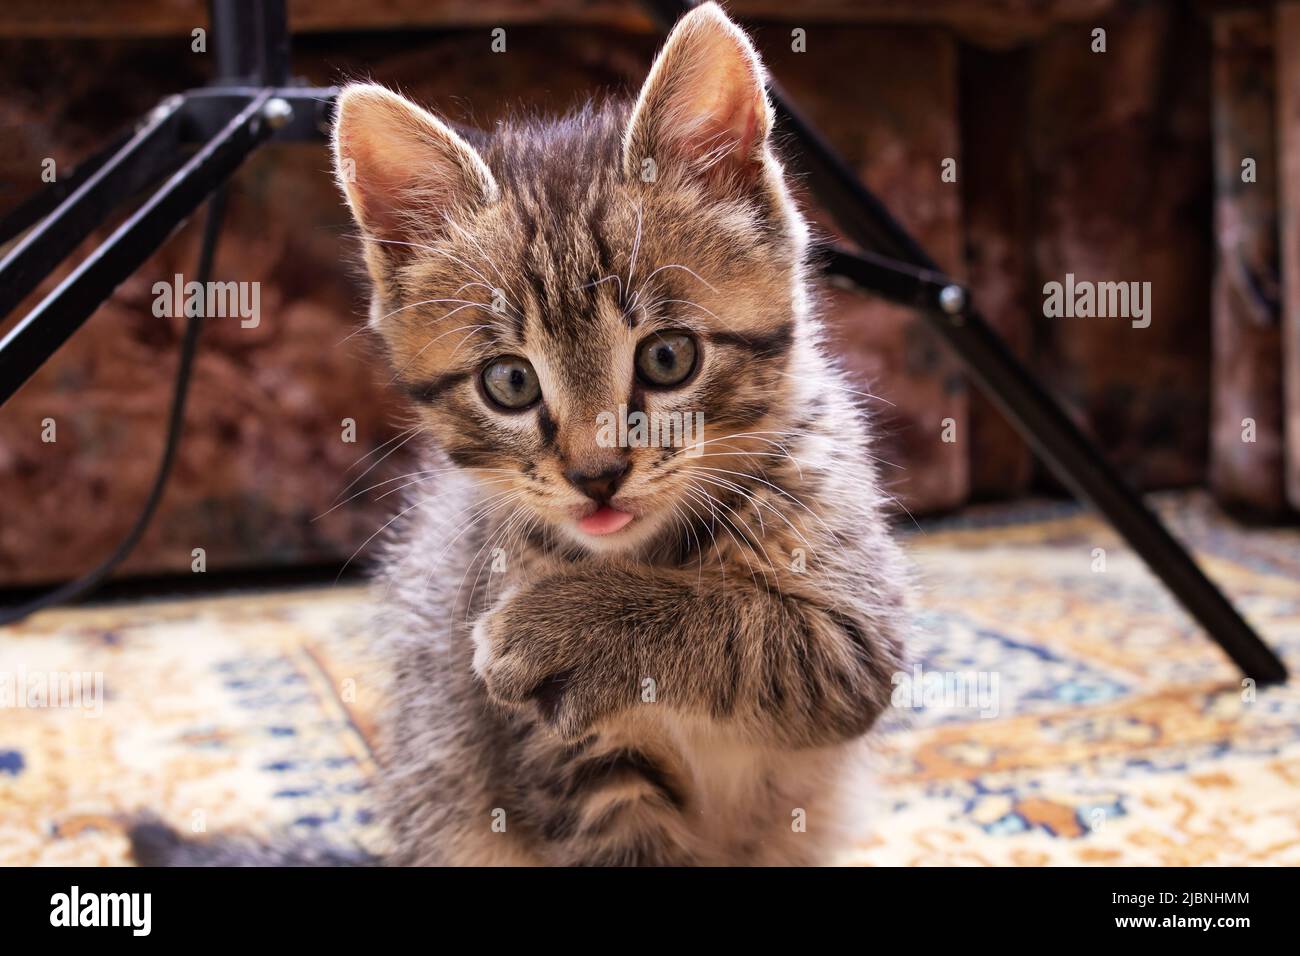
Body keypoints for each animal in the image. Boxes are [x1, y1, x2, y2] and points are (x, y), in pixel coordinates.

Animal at [131, 0, 909, 868]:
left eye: (668, 357)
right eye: (509, 382)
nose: (597, 474)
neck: (649, 553)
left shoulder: (859, 635)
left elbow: (754, 626)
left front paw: (565, 624)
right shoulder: (570, 768)